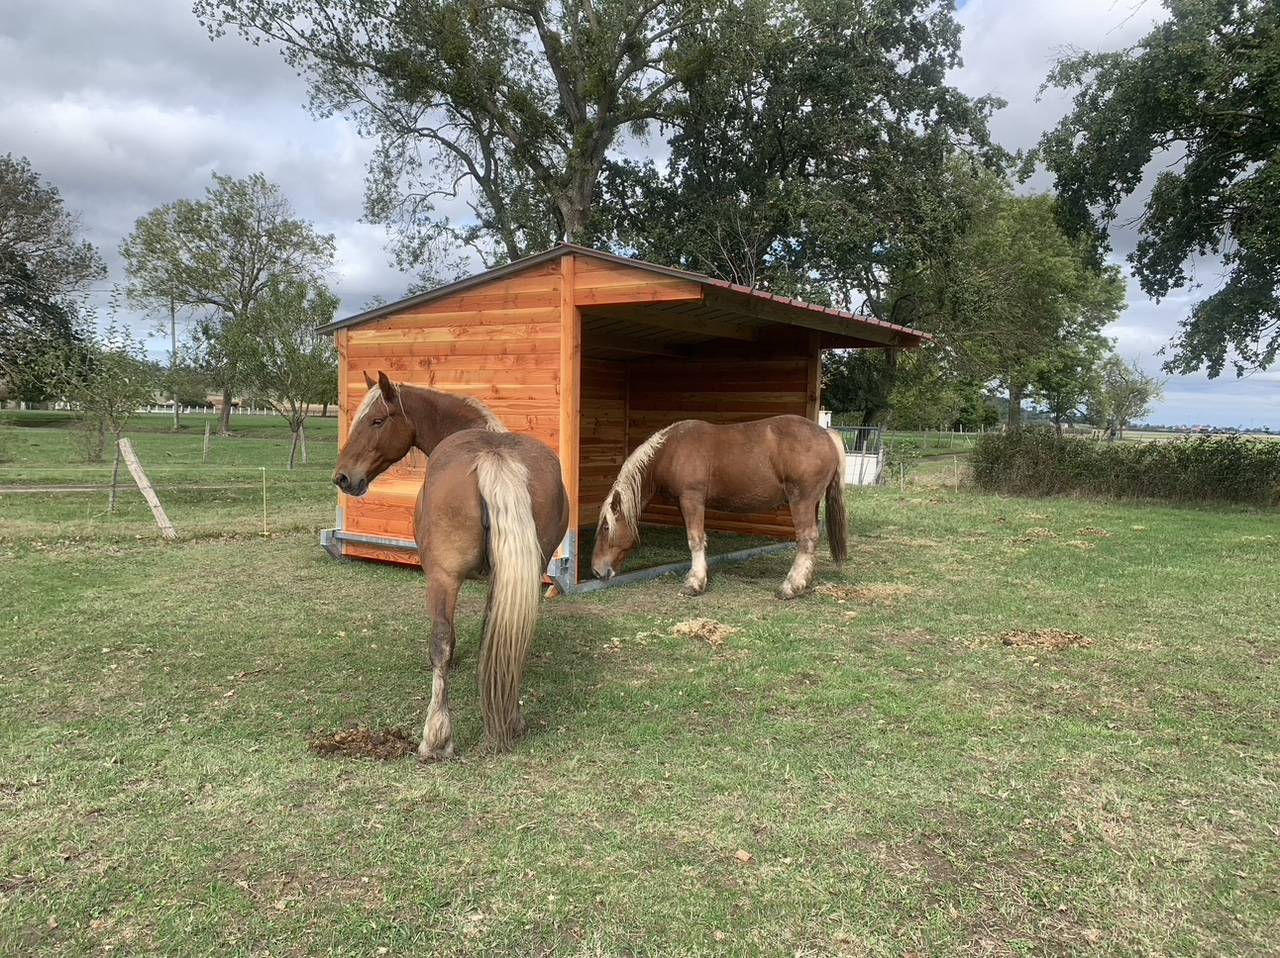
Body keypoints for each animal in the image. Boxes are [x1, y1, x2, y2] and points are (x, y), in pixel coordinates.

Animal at [333, 372, 569, 760]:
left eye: (377, 420)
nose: (342, 478)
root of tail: (494, 455)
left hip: (443, 577)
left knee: (442, 640)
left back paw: (436, 738)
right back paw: (511, 719)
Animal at [589, 415, 847, 599]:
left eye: (606, 528)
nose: (596, 571)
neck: (669, 450)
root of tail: (826, 434)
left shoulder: (692, 499)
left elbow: (694, 539)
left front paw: (694, 583)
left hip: (801, 501)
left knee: (806, 539)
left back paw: (790, 587)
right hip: (811, 503)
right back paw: (804, 581)